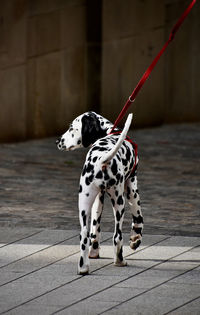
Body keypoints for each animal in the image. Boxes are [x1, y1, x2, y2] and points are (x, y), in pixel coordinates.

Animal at [56, 112, 143, 276]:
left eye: (72, 128)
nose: (58, 141)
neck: (110, 132)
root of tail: (102, 160)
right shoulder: (132, 186)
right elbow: (138, 216)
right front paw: (135, 239)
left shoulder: (98, 198)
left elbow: (95, 229)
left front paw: (94, 252)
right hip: (119, 201)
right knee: (117, 236)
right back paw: (120, 261)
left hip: (84, 203)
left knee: (84, 235)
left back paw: (83, 268)